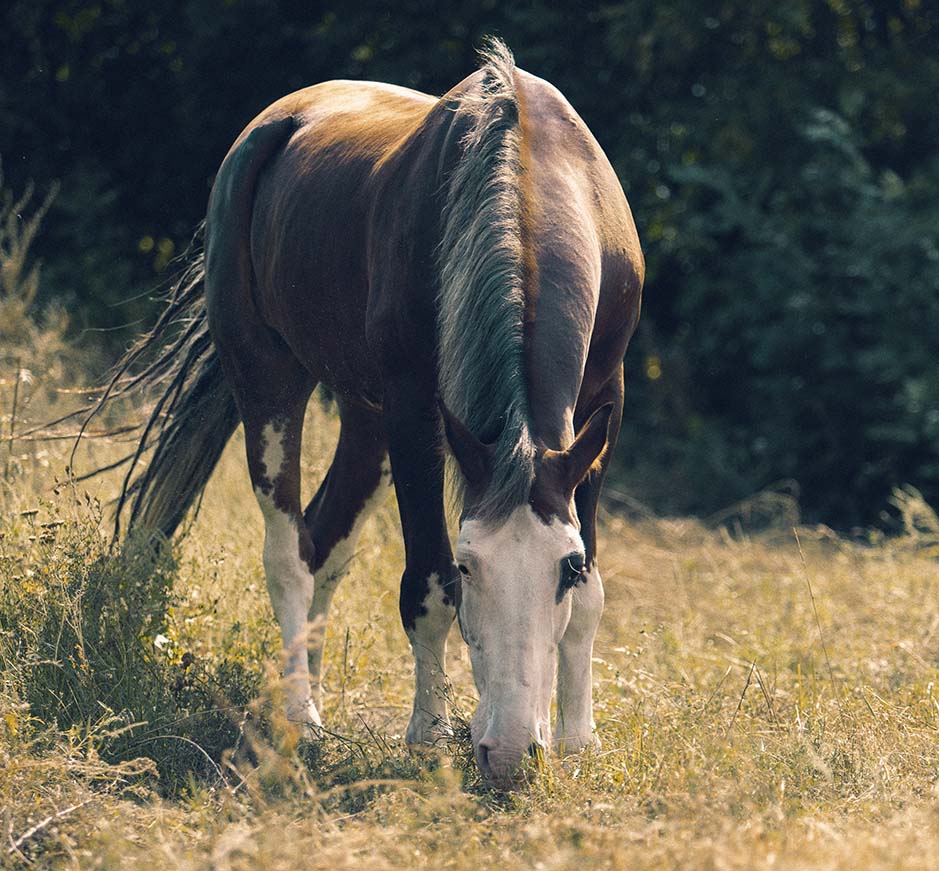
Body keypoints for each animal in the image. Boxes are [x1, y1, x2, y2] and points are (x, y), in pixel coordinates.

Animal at [97, 39, 643, 789]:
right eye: (471, 566)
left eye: (562, 565)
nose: (508, 756)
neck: (524, 175)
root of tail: (270, 129)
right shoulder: (415, 413)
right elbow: (426, 587)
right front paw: (428, 737)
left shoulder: (599, 410)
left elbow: (590, 599)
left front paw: (578, 742)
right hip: (271, 379)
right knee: (290, 551)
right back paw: (300, 716)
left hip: (365, 417)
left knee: (325, 539)